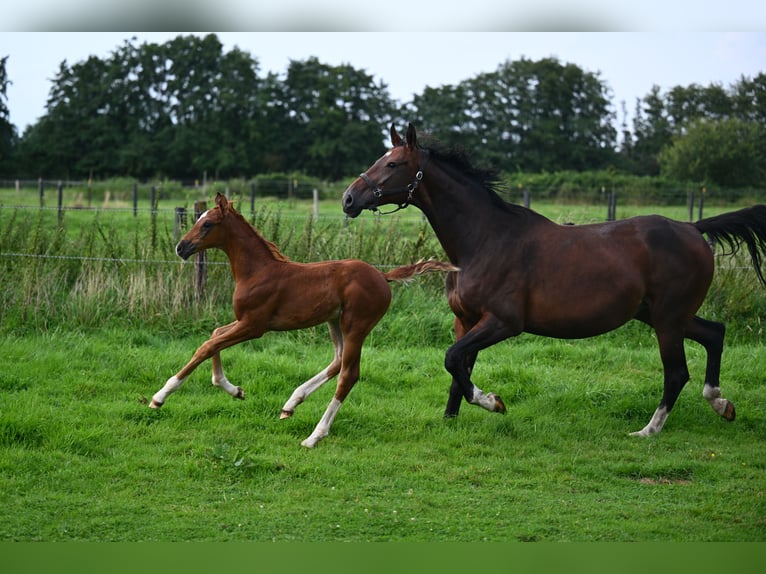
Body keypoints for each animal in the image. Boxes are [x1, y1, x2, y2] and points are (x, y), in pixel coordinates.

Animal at [153, 194, 460, 450]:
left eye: (208, 224)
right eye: (198, 220)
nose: (181, 247)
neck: (257, 271)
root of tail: (383, 277)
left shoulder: (254, 325)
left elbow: (206, 346)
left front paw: (160, 396)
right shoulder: (243, 321)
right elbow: (215, 335)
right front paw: (234, 390)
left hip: (356, 324)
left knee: (349, 373)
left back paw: (314, 436)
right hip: (334, 322)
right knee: (338, 362)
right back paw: (291, 403)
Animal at [344, 121, 766, 436]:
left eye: (394, 164)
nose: (349, 199)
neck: (483, 239)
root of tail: (693, 228)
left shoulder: (504, 322)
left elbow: (453, 360)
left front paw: (493, 402)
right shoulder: (466, 320)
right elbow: (457, 366)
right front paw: (450, 420)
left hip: (667, 319)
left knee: (677, 372)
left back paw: (649, 430)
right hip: (662, 314)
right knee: (715, 333)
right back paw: (722, 404)